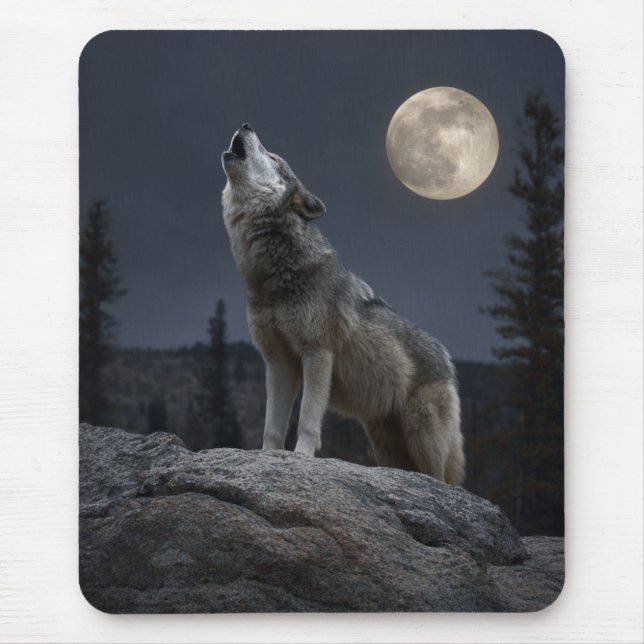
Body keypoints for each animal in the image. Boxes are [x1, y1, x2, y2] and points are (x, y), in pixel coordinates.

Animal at [221, 124, 465, 485]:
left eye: (274, 156)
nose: (247, 125)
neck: (272, 277)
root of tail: (448, 361)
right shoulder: (278, 362)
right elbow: (272, 427)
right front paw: (267, 459)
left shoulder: (317, 353)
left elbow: (308, 420)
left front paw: (301, 458)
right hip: (385, 444)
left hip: (422, 437)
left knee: (443, 481)